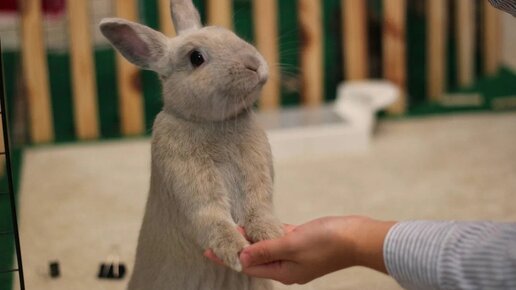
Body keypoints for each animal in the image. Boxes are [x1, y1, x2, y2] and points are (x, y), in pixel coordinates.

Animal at [99, 0, 284, 290]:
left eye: (229, 33)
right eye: (196, 58)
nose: (253, 64)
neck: (213, 123)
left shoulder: (257, 176)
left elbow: (258, 208)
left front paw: (273, 236)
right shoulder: (193, 186)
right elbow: (212, 217)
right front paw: (235, 251)